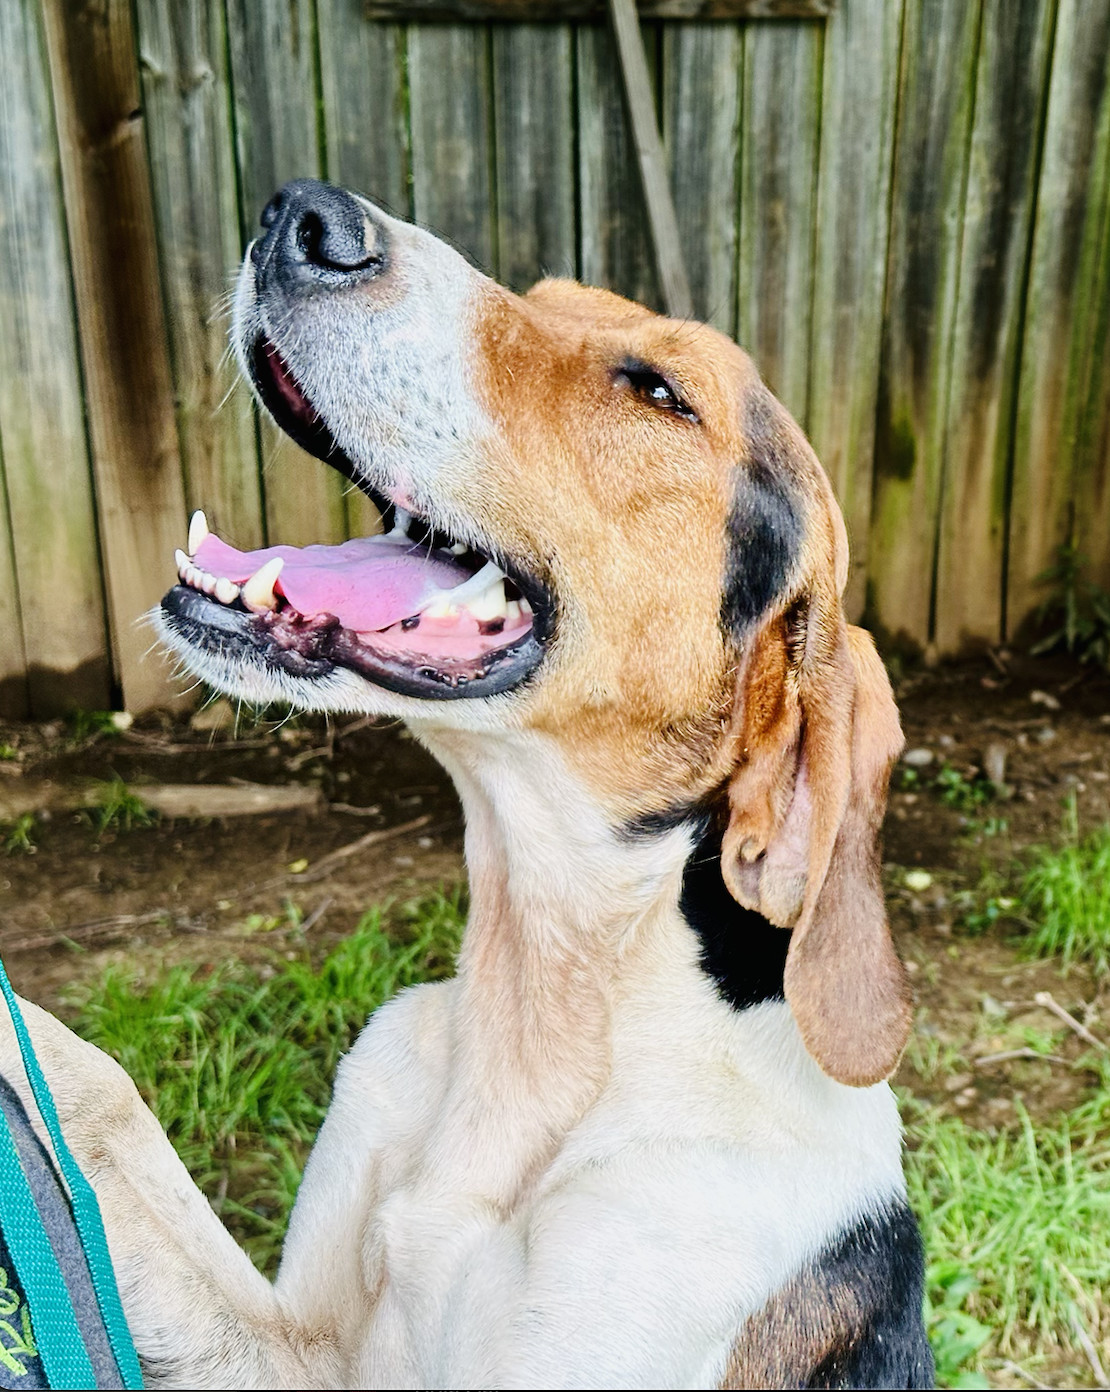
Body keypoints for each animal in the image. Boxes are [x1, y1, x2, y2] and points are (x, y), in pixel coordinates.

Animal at [0, 179, 935, 1386]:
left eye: (658, 391)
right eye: (540, 296)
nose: (304, 216)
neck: (541, 1005)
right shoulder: (299, 1354)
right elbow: (98, 1095)